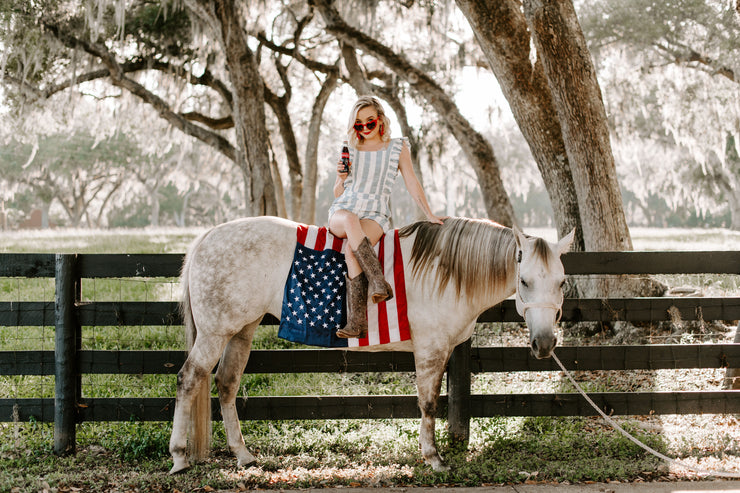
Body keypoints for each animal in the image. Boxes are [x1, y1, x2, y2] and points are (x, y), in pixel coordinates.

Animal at [168, 215, 572, 472]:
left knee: (226, 384)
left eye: (562, 282)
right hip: (215, 333)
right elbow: (428, 404)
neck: (445, 271)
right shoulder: (431, 351)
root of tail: (207, 236)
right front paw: (433, 458)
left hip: (241, 330)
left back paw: (243, 455)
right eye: (524, 281)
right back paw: (179, 457)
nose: (545, 343)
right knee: (189, 379)